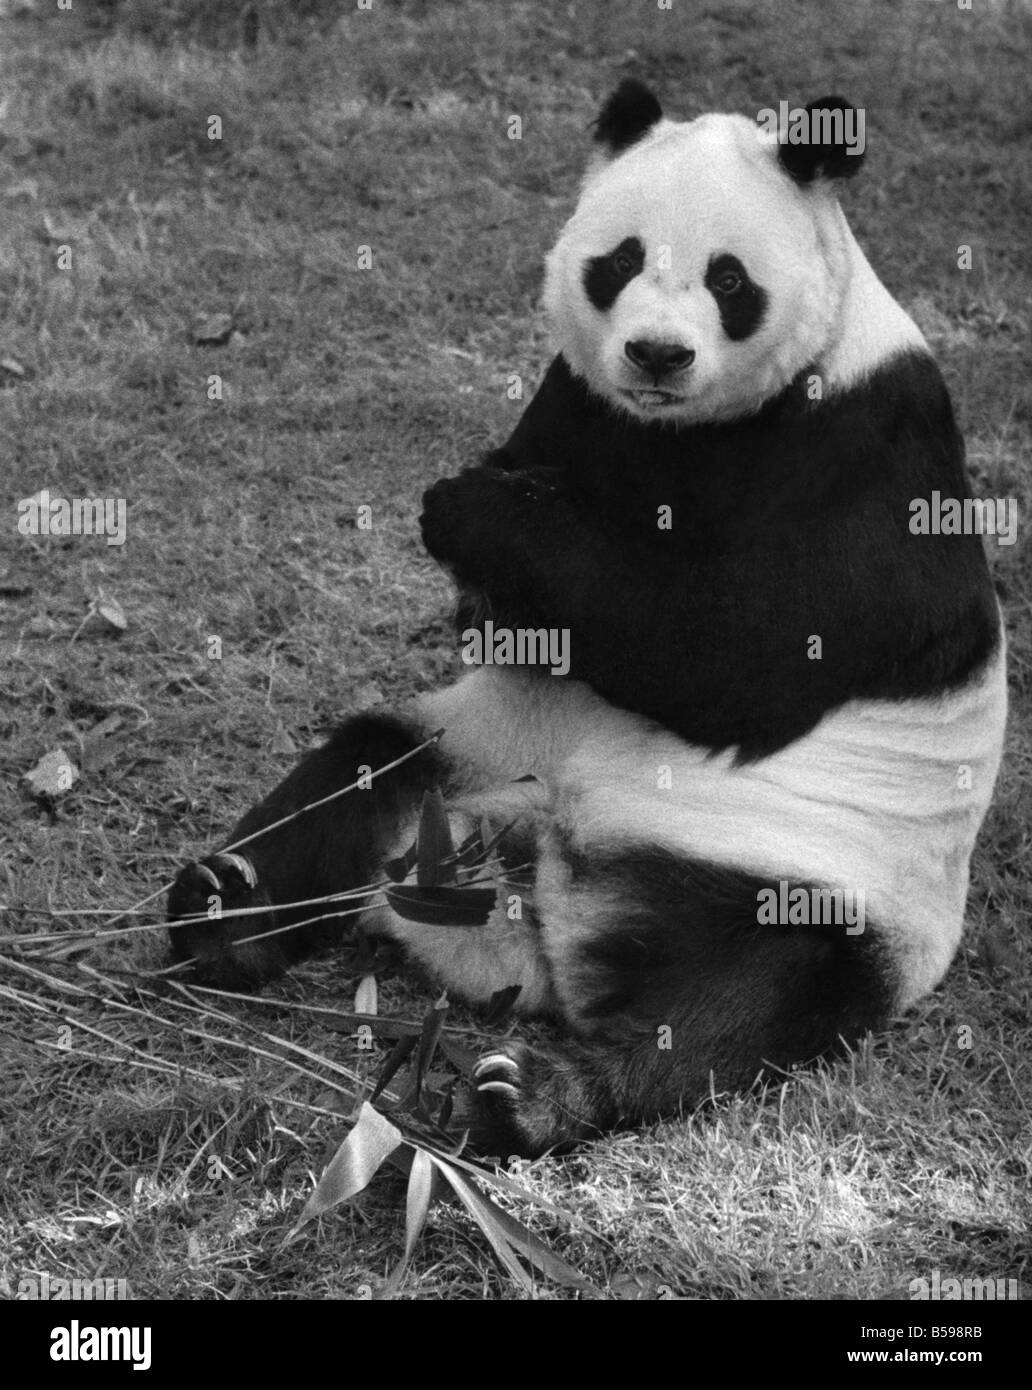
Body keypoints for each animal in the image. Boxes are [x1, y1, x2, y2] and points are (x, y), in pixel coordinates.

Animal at [169, 80, 1007, 1159]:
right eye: (620, 262)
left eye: (729, 279)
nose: (657, 353)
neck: (682, 426)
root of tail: (544, 913)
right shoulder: (577, 403)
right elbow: (514, 620)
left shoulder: (859, 444)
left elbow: (739, 654)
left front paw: (473, 509)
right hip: (475, 752)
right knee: (360, 775)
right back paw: (225, 910)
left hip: (811, 870)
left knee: (749, 993)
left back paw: (525, 1092)